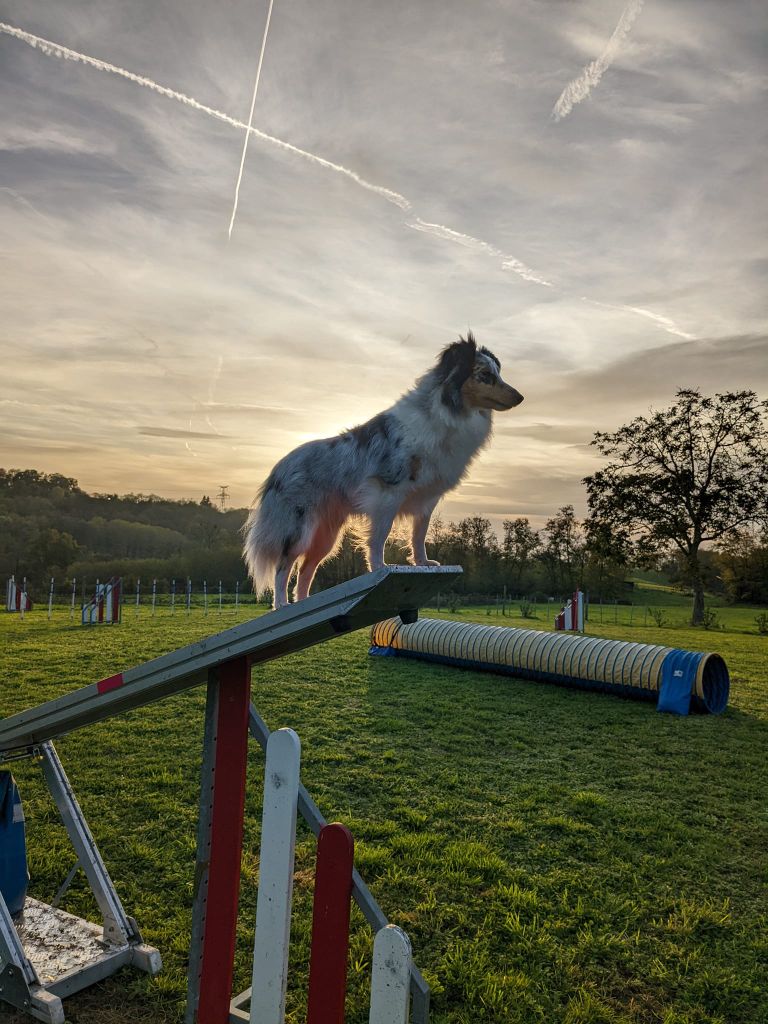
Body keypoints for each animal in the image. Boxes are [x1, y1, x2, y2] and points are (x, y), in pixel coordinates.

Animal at [243, 333, 528, 606]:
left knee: (305, 570)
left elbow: (419, 535)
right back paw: (282, 605)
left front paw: (422, 563)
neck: (449, 411)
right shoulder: (388, 491)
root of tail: (277, 470)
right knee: (284, 566)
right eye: (485, 375)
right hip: (299, 527)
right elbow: (380, 536)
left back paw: (302, 603)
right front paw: (380, 567)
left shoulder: (428, 497)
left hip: (326, 536)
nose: (520, 397)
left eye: (498, 373)